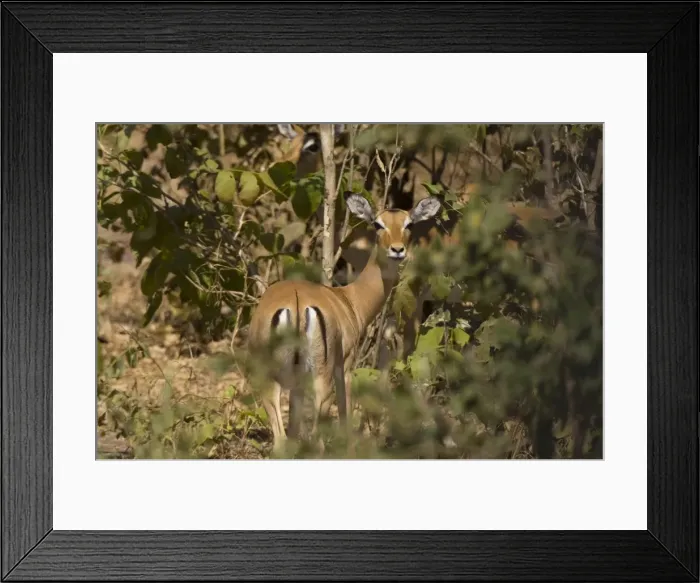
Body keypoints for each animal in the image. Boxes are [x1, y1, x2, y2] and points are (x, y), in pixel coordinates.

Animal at [246, 192, 442, 454]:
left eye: (408, 223)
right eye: (377, 224)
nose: (397, 250)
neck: (349, 300)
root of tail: (296, 303)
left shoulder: (298, 384)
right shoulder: (345, 367)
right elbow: (345, 418)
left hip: (271, 379)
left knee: (282, 440)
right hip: (321, 377)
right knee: (317, 439)